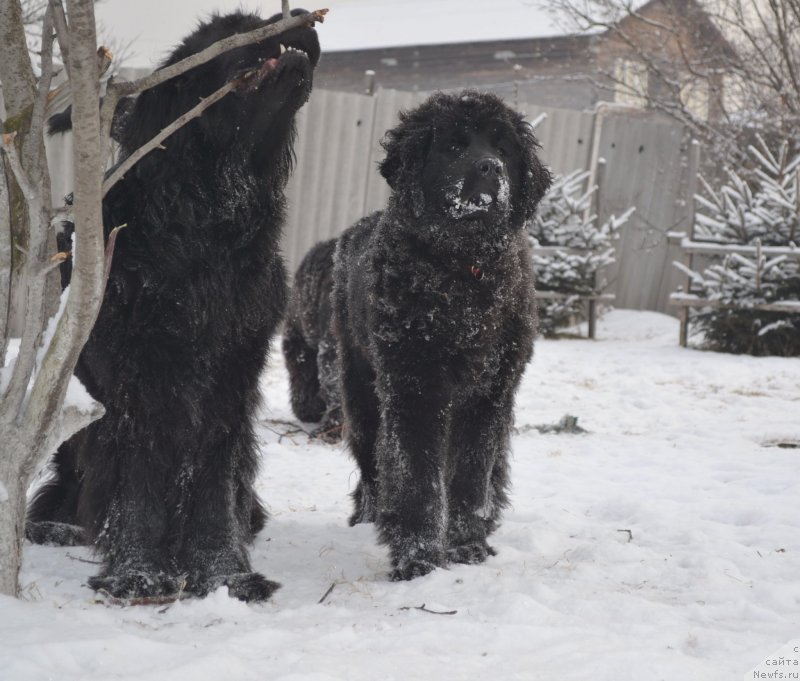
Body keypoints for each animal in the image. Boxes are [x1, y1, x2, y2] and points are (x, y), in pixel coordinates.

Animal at [28, 10, 322, 600]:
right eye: (233, 30)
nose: (298, 19)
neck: (206, 230)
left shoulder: (231, 378)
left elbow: (214, 481)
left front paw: (226, 573)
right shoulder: (136, 381)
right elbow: (139, 473)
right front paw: (138, 573)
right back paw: (57, 524)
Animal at [332, 90, 552, 580]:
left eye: (503, 147)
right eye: (453, 146)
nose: (491, 167)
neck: (463, 272)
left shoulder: (488, 394)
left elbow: (470, 476)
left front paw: (467, 546)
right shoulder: (414, 386)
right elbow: (416, 478)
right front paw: (418, 559)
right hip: (362, 390)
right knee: (373, 465)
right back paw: (370, 517)